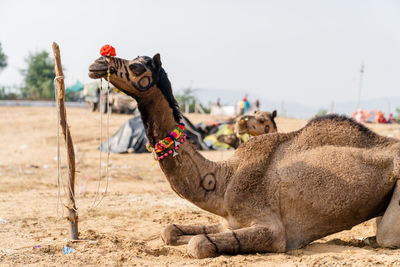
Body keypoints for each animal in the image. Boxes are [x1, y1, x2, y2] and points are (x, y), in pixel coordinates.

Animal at [88, 54, 400, 260]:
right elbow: (169, 230)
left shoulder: (273, 230)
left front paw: (196, 241)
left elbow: (198, 244)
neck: (223, 179)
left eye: (136, 65)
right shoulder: (229, 221)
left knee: (386, 236)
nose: (98, 63)